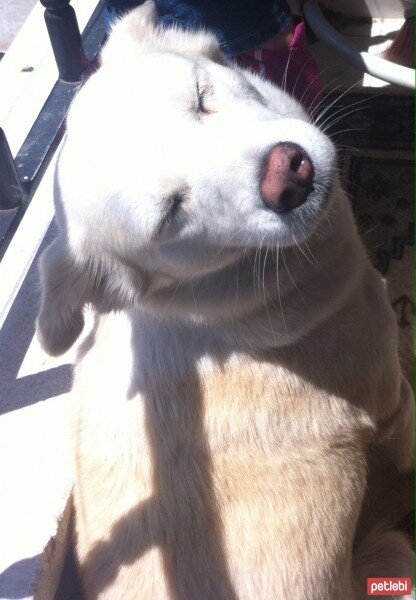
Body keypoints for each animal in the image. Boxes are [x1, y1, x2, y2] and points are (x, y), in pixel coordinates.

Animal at [35, 2, 412, 596]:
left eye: (200, 96)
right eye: (172, 212)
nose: (289, 175)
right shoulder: (394, 400)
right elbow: (408, 450)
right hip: (394, 552)